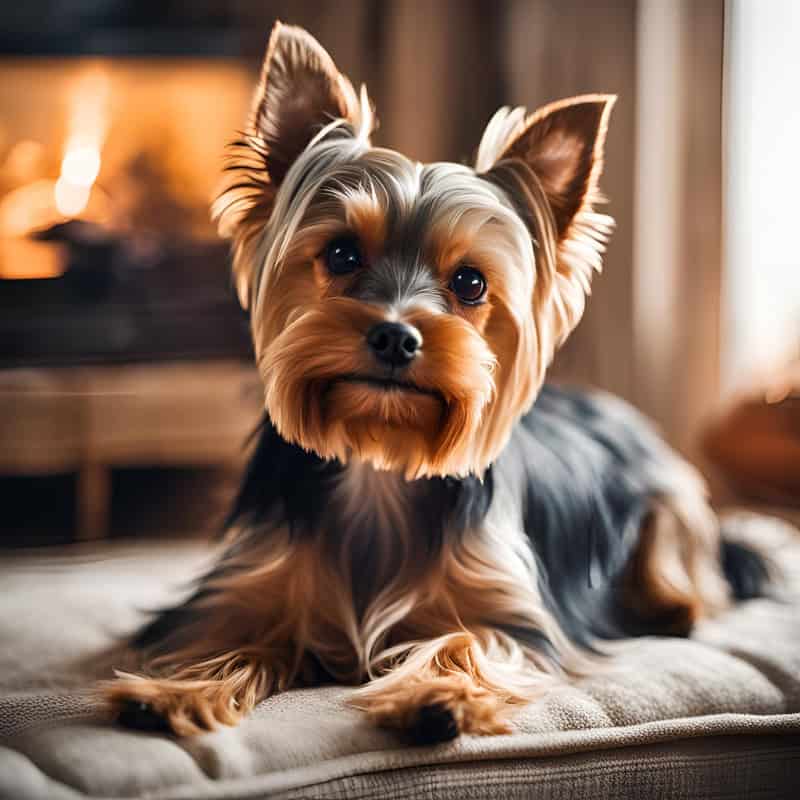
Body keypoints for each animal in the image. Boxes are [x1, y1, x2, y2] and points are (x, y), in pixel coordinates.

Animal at [106, 18, 768, 744]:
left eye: (471, 282)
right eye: (342, 253)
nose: (396, 336)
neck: (378, 459)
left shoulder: (511, 616)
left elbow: (472, 640)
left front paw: (436, 695)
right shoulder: (247, 583)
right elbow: (226, 634)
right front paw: (175, 690)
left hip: (669, 496)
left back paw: (675, 606)